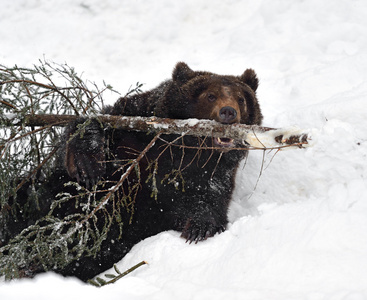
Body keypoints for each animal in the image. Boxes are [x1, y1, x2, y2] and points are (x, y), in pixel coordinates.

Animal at [2, 62, 264, 282]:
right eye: (211, 95)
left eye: (241, 99)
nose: (229, 112)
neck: (184, 150)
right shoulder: (134, 131)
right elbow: (88, 130)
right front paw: (88, 162)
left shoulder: (209, 175)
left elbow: (208, 203)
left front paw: (199, 228)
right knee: (21, 198)